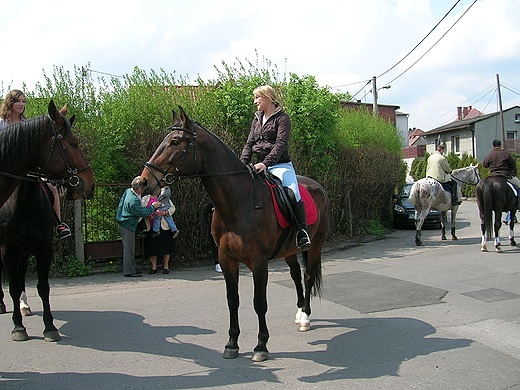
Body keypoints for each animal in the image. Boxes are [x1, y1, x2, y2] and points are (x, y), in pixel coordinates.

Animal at [140, 106, 332, 362]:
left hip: (315, 245)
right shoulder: (226, 259)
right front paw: (232, 343)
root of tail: (317, 186)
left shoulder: (259, 262)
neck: (239, 201)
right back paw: (300, 312)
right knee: (295, 276)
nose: (142, 182)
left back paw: (306, 318)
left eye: (174, 141)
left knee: (308, 276)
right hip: (289, 251)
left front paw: (261, 345)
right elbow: (233, 301)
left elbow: (259, 303)